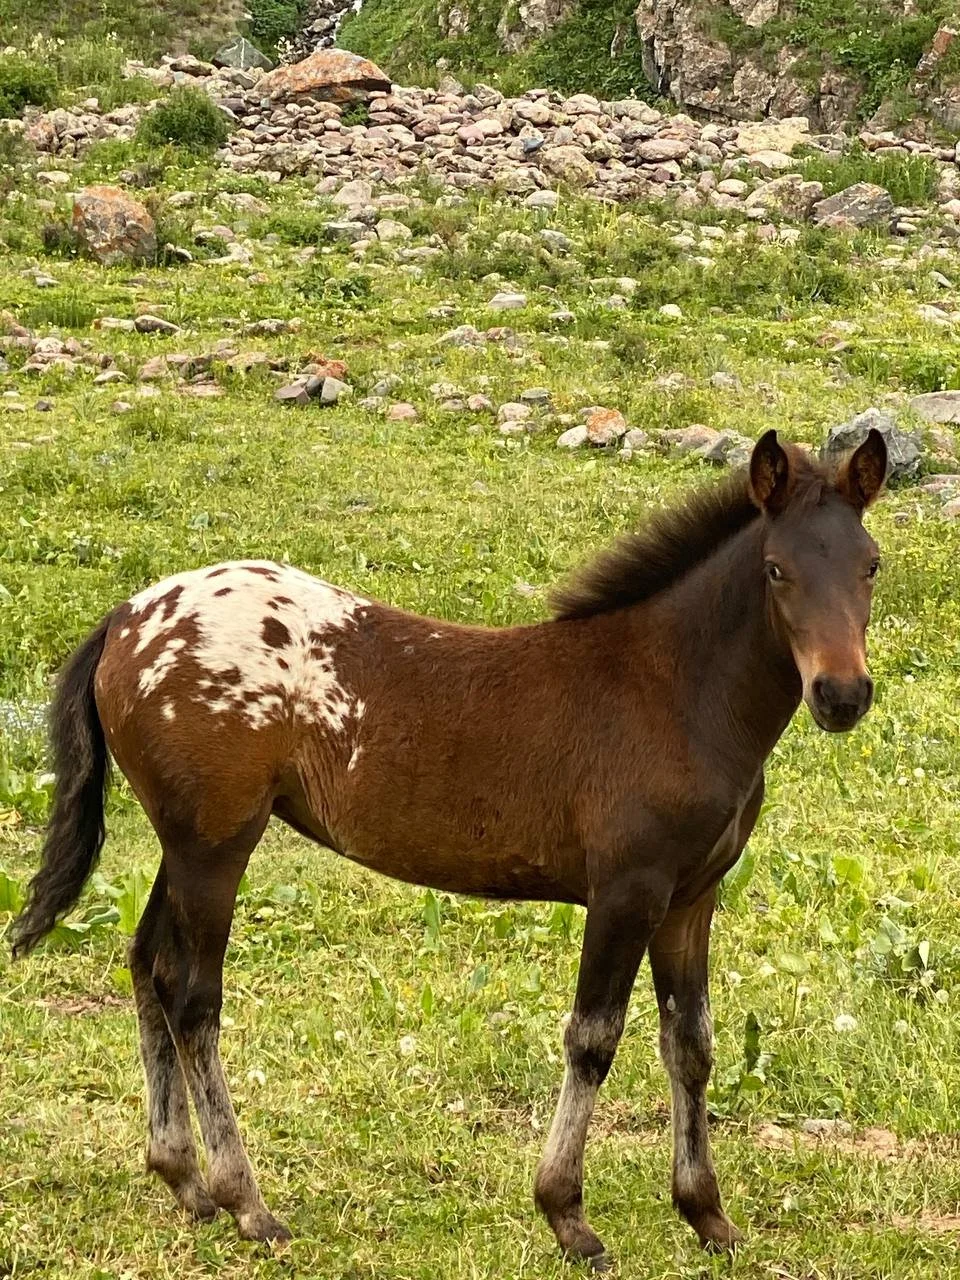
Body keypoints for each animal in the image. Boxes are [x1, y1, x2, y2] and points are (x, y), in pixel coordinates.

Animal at [11, 428, 887, 1268]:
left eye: (872, 566)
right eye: (776, 570)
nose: (842, 695)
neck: (670, 692)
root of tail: (127, 618)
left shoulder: (691, 899)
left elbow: (691, 1045)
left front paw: (707, 1215)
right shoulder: (626, 890)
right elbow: (593, 1038)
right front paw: (568, 1218)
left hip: (186, 842)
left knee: (148, 965)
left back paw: (183, 1179)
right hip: (217, 845)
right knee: (194, 998)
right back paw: (246, 1203)